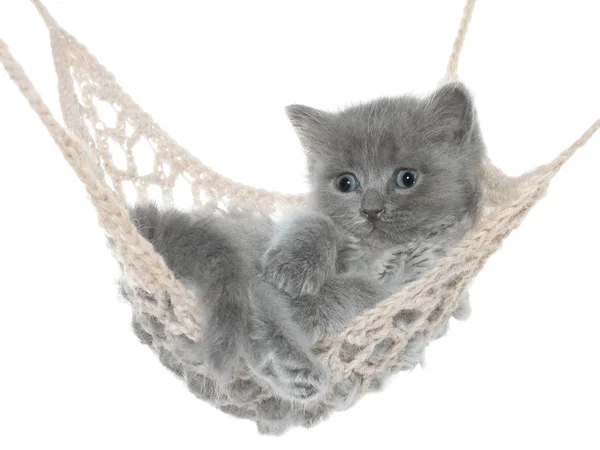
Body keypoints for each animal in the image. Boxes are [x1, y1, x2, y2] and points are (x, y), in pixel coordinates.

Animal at [124, 82, 486, 406]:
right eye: (346, 183)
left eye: (406, 178)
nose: (371, 210)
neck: (375, 252)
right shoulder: (301, 222)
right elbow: (315, 222)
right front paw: (293, 268)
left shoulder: (421, 285)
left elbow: (368, 292)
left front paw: (304, 308)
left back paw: (287, 363)